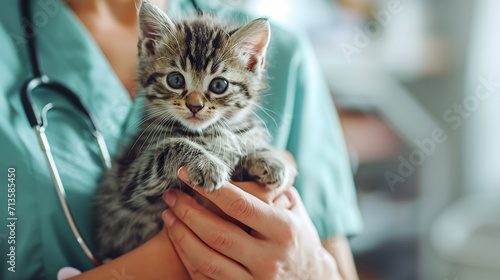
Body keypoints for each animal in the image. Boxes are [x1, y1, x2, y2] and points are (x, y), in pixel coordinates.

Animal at [94, 1, 292, 262]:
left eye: (219, 85)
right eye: (175, 80)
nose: (195, 106)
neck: (209, 132)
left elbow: (247, 142)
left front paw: (269, 159)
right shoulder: (129, 188)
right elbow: (171, 146)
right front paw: (206, 163)